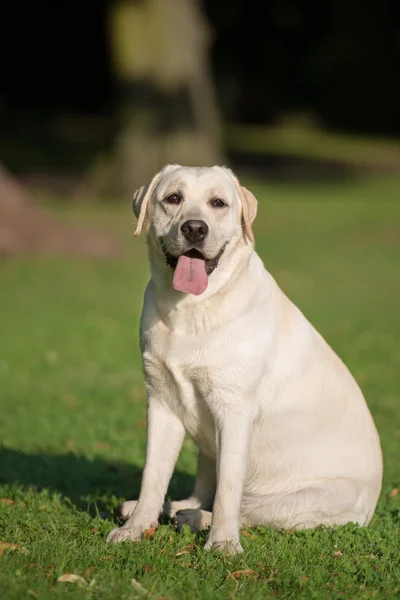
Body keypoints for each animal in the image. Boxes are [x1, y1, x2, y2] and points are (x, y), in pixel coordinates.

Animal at [108, 164, 382, 552]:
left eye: (218, 203)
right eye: (173, 198)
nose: (195, 228)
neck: (192, 308)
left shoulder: (234, 409)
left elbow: (229, 489)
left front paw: (223, 545)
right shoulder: (162, 400)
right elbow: (153, 475)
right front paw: (136, 528)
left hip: (307, 498)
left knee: (249, 509)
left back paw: (192, 517)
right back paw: (167, 507)